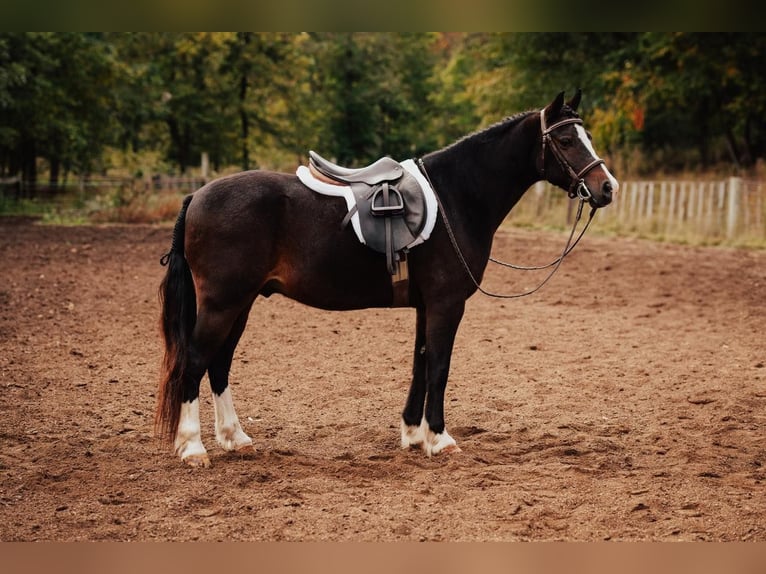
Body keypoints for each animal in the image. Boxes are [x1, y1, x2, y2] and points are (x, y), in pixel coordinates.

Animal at [159, 90, 620, 468]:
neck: (457, 196)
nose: (608, 187)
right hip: (223, 303)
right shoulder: (447, 304)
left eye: (586, 136)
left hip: (242, 302)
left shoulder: (427, 306)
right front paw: (440, 439)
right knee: (194, 362)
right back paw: (193, 447)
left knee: (219, 363)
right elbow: (439, 366)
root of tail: (196, 195)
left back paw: (234, 438)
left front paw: (414, 434)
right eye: (566, 141)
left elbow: (421, 362)